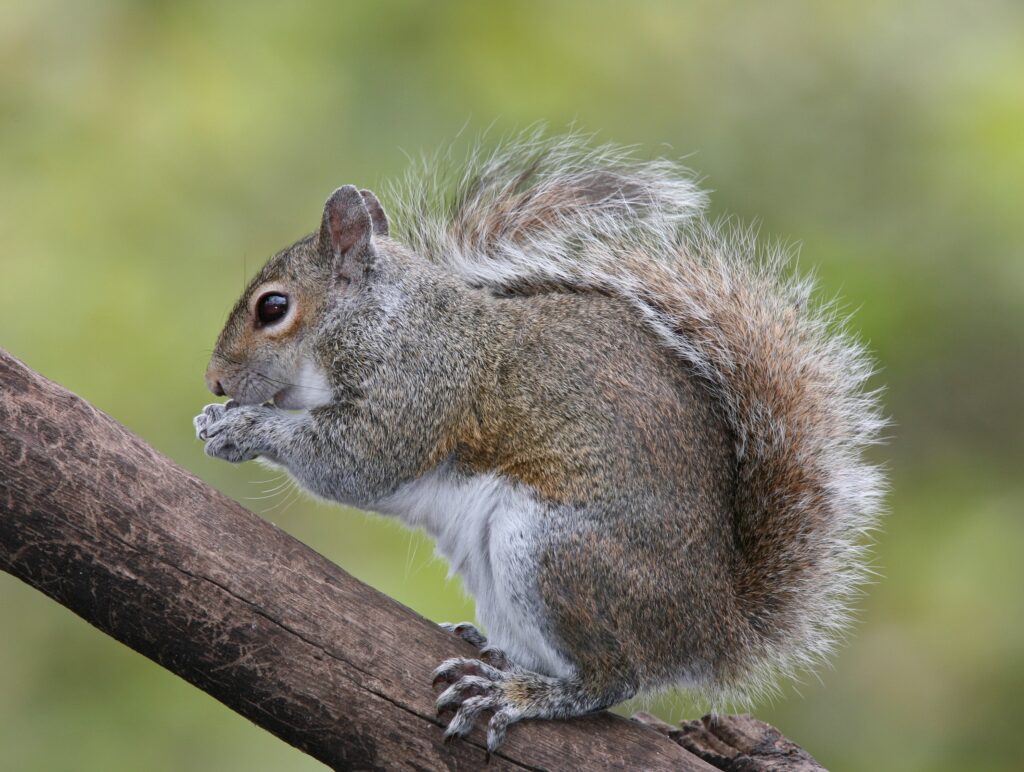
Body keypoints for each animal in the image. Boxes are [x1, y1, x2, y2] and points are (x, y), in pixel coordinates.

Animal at [193, 134, 888, 753]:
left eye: (273, 307)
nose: (215, 380)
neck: (380, 318)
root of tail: (714, 628)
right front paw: (215, 419)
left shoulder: (418, 388)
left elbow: (356, 461)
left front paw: (242, 428)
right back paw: (491, 648)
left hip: (553, 552)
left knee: (613, 679)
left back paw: (519, 692)